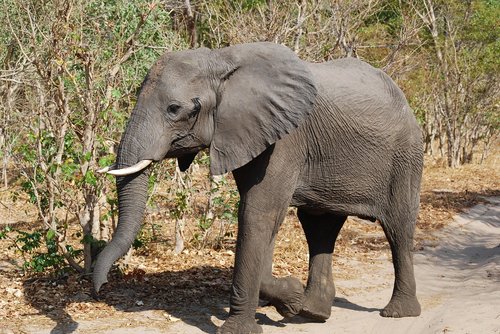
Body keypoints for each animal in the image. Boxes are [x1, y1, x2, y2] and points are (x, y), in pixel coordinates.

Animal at [93, 42, 422, 334]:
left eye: (174, 109)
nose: (99, 288)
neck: (220, 59)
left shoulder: (285, 138)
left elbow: (258, 213)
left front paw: (250, 323)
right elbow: (263, 218)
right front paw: (291, 300)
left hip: (406, 154)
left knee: (398, 226)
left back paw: (397, 313)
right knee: (319, 226)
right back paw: (313, 312)